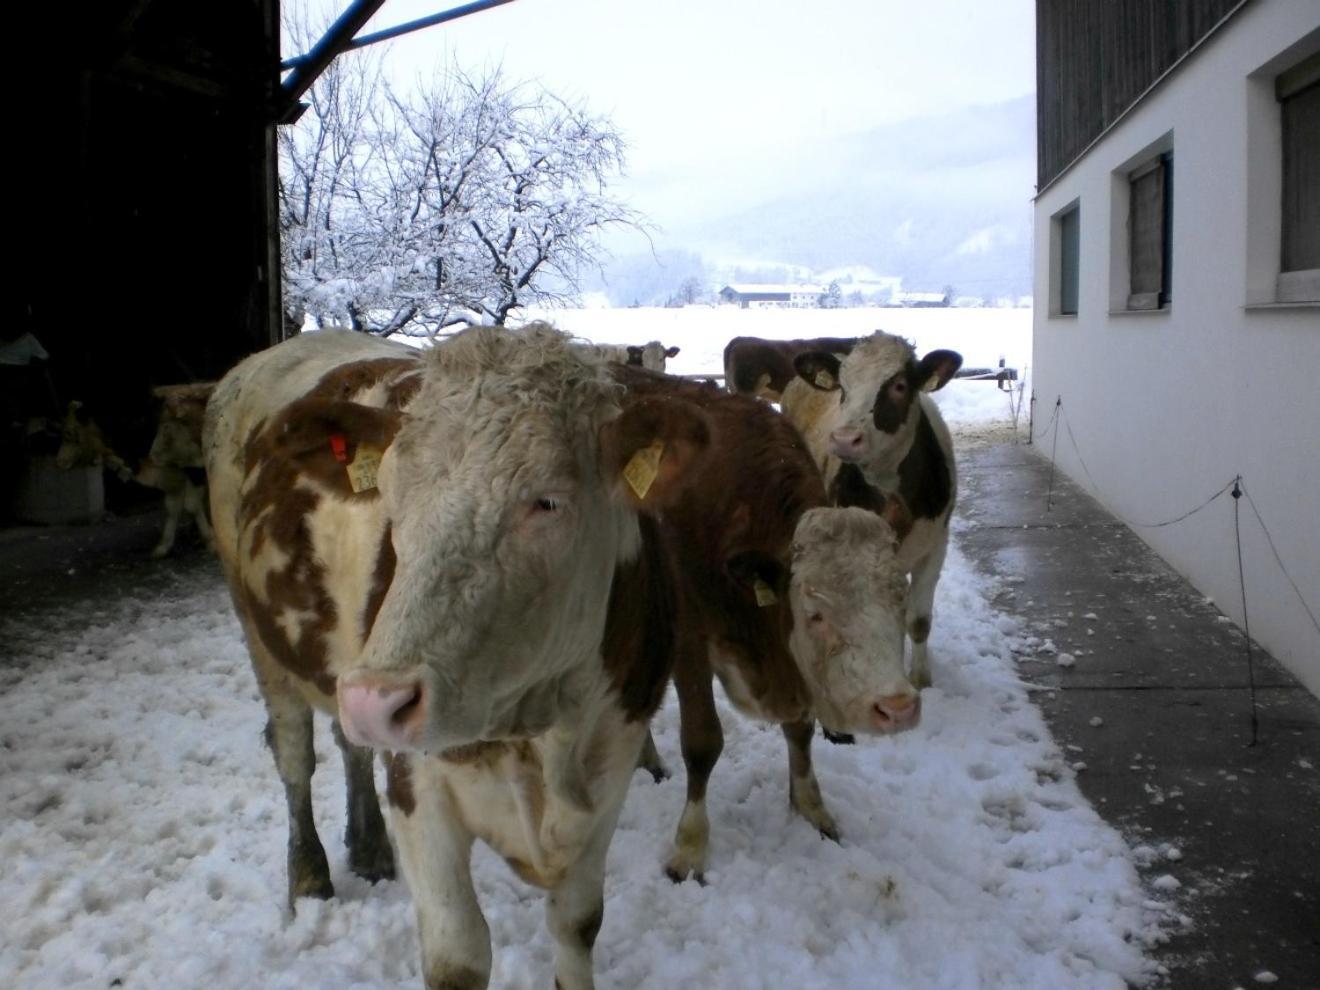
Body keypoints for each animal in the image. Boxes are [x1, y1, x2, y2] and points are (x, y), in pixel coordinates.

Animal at [203, 326, 712, 990]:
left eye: (547, 502)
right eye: (391, 496)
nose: (377, 701)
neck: (548, 731)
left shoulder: (612, 766)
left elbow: (578, 925)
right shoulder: (419, 787)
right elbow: (458, 956)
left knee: (350, 745)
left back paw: (368, 846)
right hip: (265, 640)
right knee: (295, 757)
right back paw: (310, 876)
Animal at [609, 369, 913, 881]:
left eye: (900, 596)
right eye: (815, 613)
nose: (898, 707)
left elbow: (801, 732)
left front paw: (812, 809)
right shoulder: (690, 640)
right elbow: (702, 742)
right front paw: (690, 847)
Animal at [781, 333, 960, 691]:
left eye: (900, 386)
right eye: (843, 388)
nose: (845, 440)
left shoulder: (936, 546)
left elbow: (918, 621)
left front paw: (920, 679)